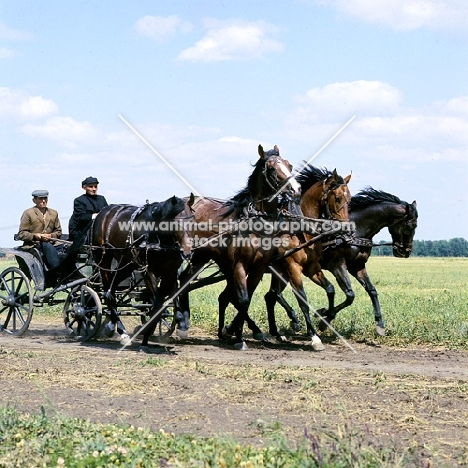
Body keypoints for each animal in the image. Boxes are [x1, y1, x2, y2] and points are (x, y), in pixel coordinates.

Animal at [90, 195, 193, 352]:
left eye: (193, 221)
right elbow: (157, 304)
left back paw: (113, 325)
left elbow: (173, 298)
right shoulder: (147, 270)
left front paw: (181, 323)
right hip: (104, 258)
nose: (187, 251)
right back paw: (120, 331)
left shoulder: (170, 272)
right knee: (107, 288)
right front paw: (145, 335)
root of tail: (104, 211)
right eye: (174, 223)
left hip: (127, 263)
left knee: (111, 289)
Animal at [177, 144, 302, 350]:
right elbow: (242, 300)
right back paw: (180, 322)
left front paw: (236, 332)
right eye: (272, 169)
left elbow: (247, 298)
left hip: (202, 257)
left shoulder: (258, 268)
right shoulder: (239, 266)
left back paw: (184, 322)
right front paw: (237, 336)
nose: (296, 189)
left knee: (185, 279)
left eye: (289, 165)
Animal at [274, 188, 416, 338]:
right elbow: (350, 295)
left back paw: (293, 320)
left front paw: (380, 324)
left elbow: (372, 290)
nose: (405, 252)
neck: (353, 232)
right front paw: (325, 318)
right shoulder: (337, 266)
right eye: (410, 226)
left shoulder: (357, 267)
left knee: (274, 293)